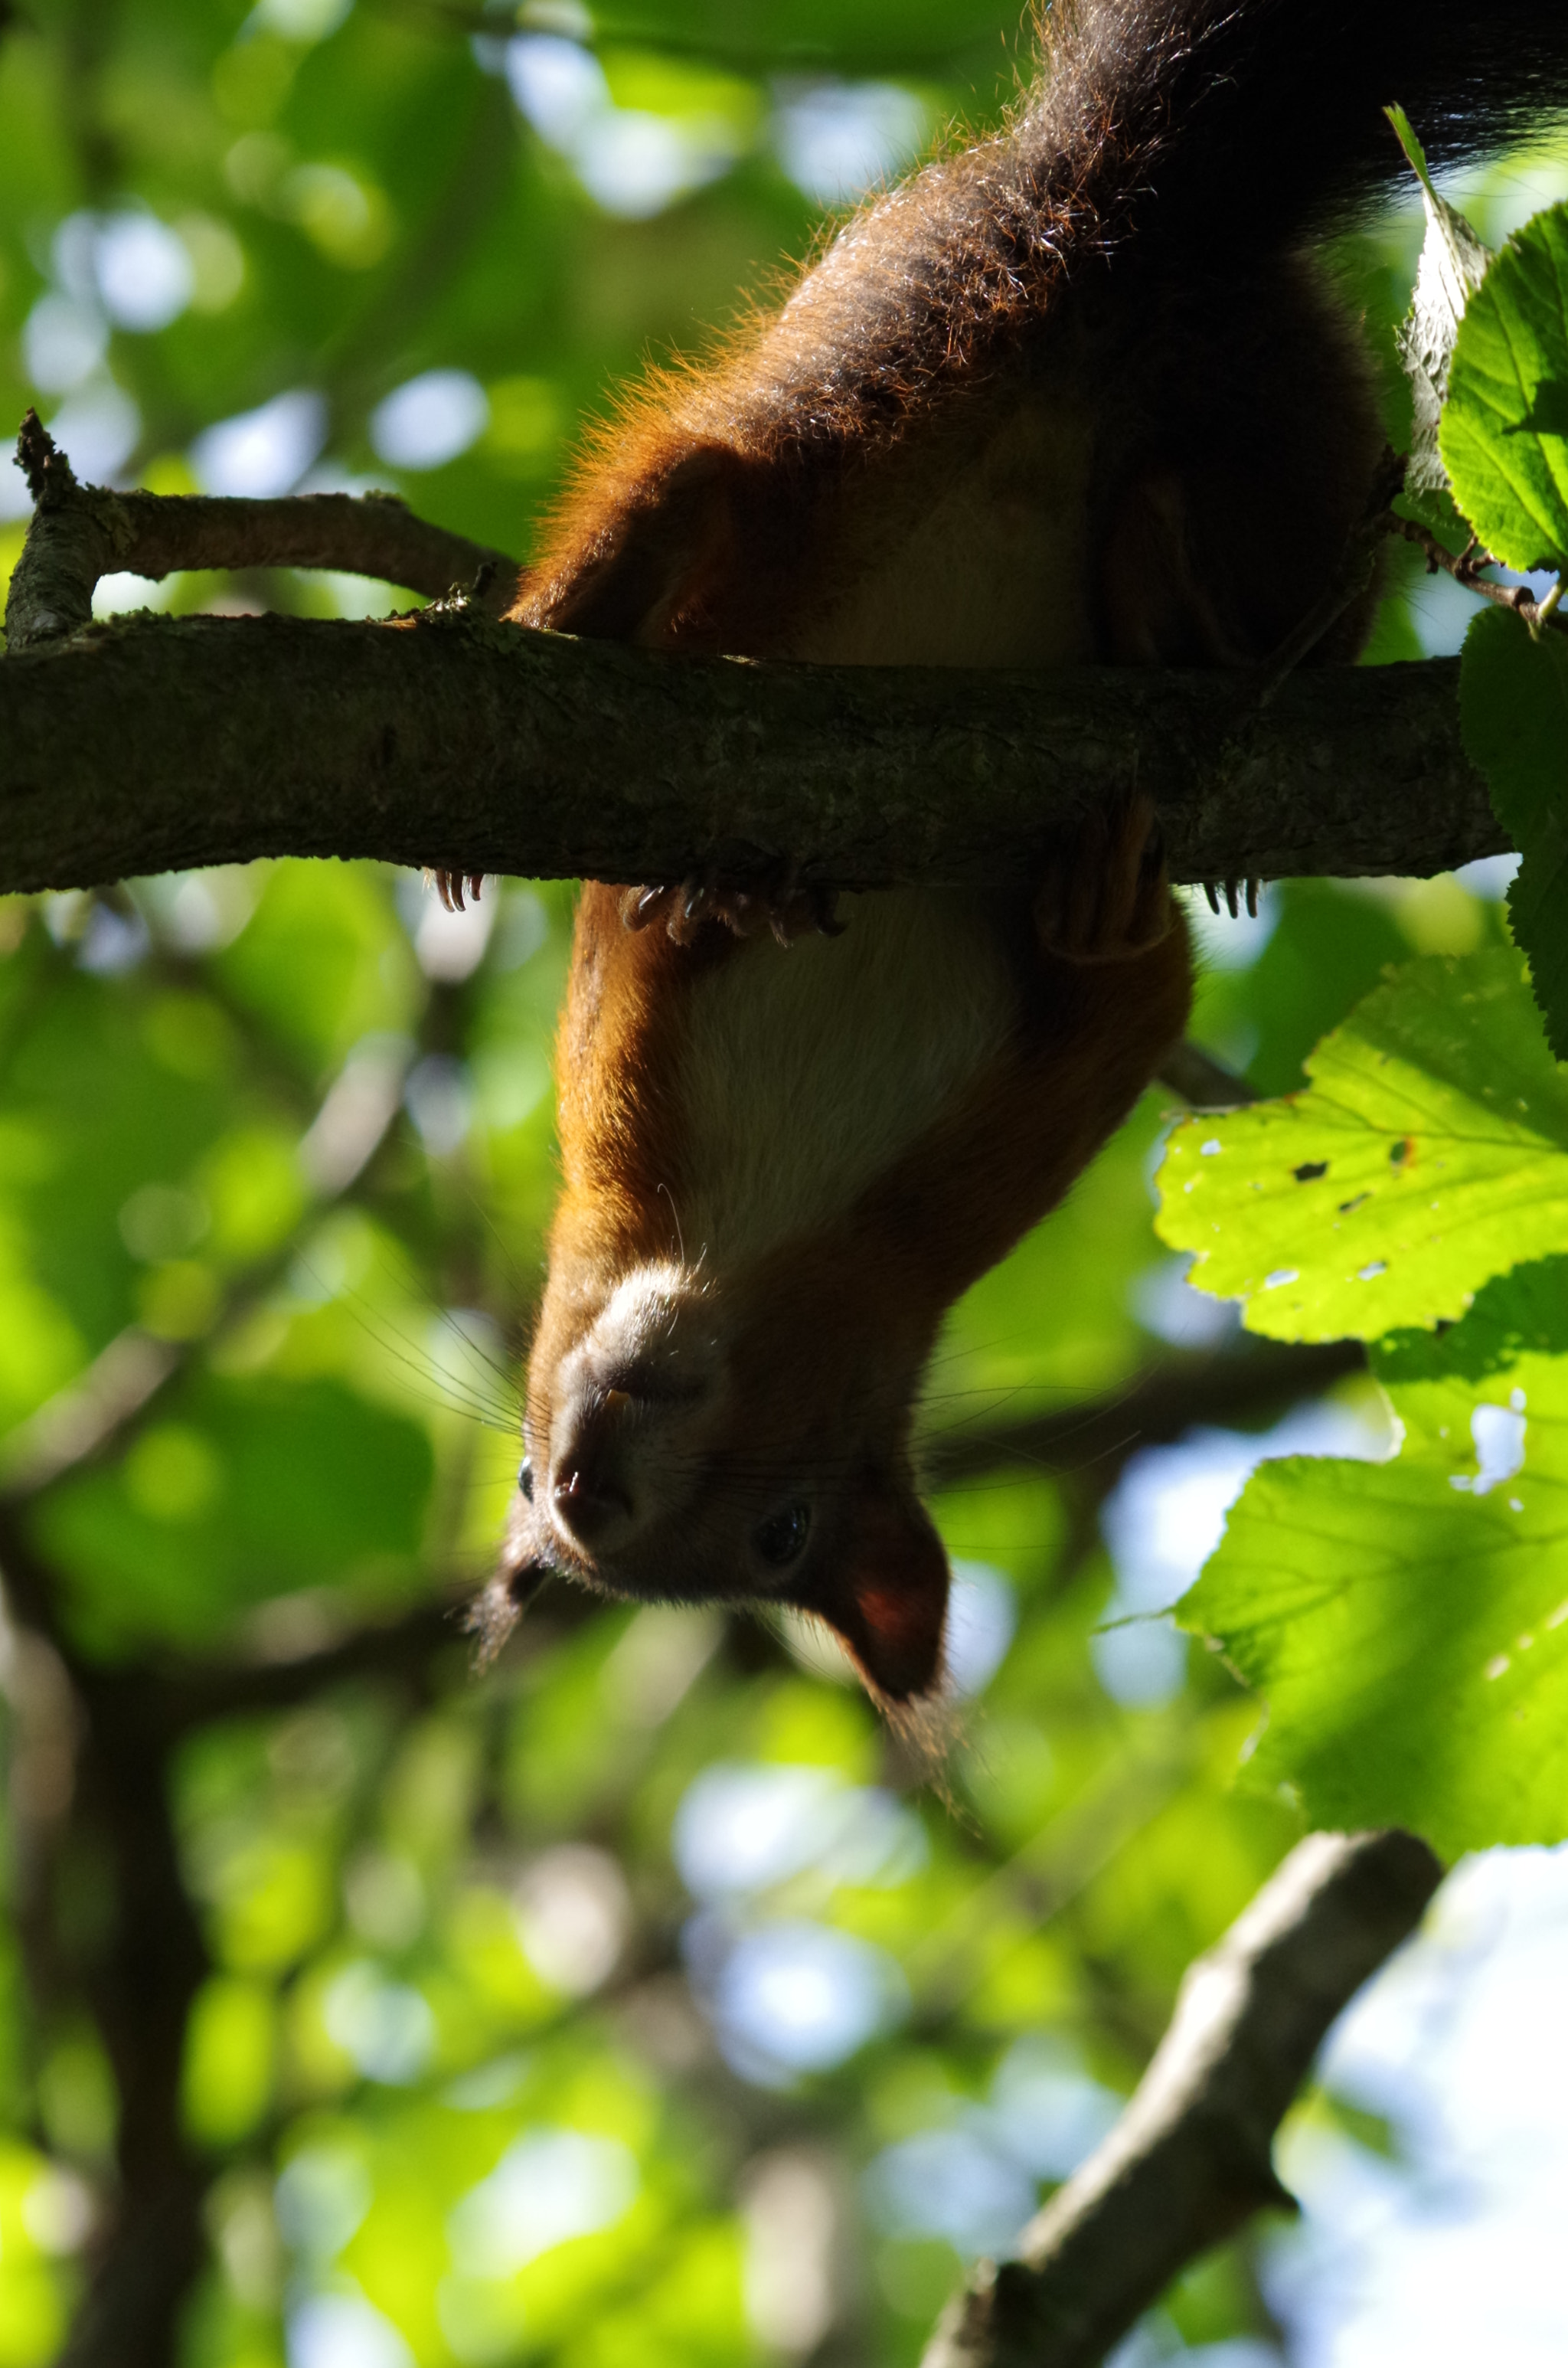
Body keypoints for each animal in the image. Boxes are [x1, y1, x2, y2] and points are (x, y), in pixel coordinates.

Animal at [473, 0, 1568, 1705]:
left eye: (781, 1540)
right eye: (524, 1485)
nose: (584, 1491)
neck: (756, 1223)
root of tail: (1127, 208)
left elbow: (1141, 974)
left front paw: (1095, 907)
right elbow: (658, 903)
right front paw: (733, 892)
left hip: (1094, 374)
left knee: (717, 466)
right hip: (1059, 373)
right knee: (720, 476)